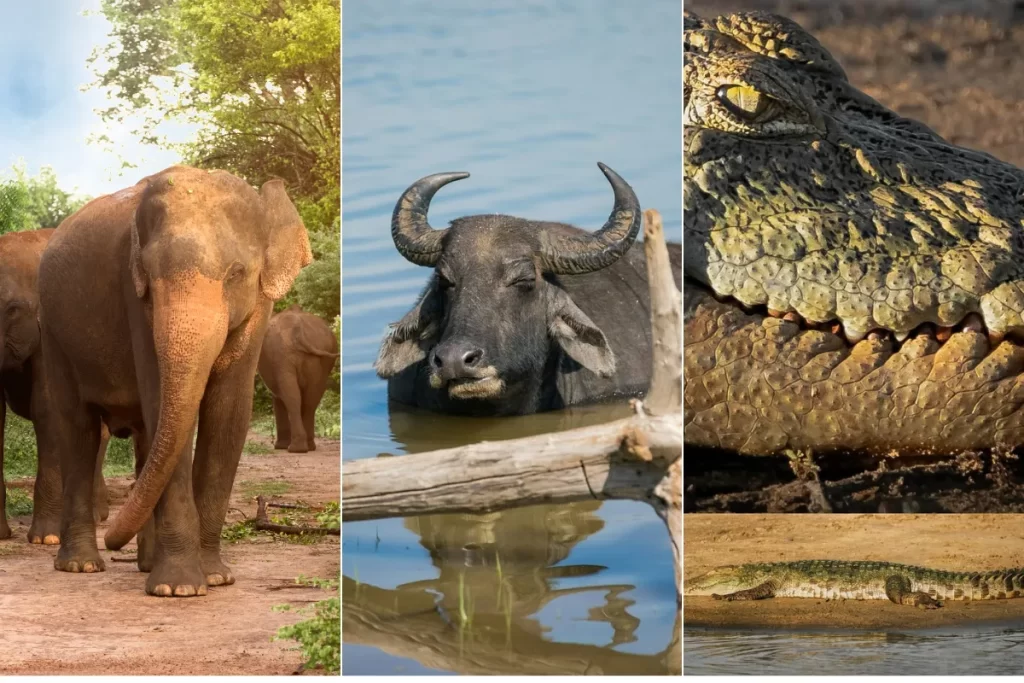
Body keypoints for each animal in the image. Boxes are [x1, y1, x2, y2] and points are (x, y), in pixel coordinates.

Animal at [36, 165, 312, 597]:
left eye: (237, 274)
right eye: (148, 276)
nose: (113, 540)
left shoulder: (260, 308)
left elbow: (229, 412)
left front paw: (215, 577)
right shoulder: (133, 298)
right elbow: (160, 402)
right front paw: (178, 589)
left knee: (144, 437)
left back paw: (145, 563)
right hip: (53, 334)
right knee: (77, 428)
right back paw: (81, 566)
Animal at [257, 304, 338, 453]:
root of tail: (298, 330)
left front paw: (280, 447)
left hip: (282, 355)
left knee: (292, 396)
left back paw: (295, 448)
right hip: (317, 358)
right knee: (311, 398)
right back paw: (308, 447)